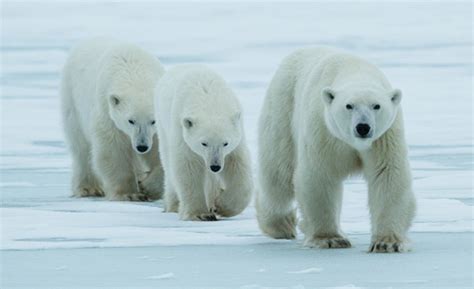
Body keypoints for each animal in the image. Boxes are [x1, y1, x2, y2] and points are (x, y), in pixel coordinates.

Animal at [61, 37, 166, 200]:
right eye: (131, 120)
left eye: (153, 121)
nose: (142, 147)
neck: (134, 70)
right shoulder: (106, 111)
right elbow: (113, 150)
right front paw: (129, 194)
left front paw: (148, 187)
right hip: (72, 102)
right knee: (81, 148)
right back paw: (88, 188)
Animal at [155, 64, 252, 219]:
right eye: (204, 143)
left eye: (225, 143)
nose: (215, 166)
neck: (209, 98)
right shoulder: (180, 128)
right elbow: (188, 166)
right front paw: (200, 214)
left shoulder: (237, 131)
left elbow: (237, 164)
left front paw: (222, 207)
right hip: (162, 125)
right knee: (169, 166)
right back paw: (174, 205)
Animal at [258, 47, 416, 252]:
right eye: (349, 105)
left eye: (377, 106)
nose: (363, 127)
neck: (355, 70)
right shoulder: (323, 129)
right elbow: (319, 175)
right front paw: (330, 239)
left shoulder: (385, 138)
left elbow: (388, 175)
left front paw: (387, 242)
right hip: (283, 110)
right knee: (278, 175)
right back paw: (281, 225)